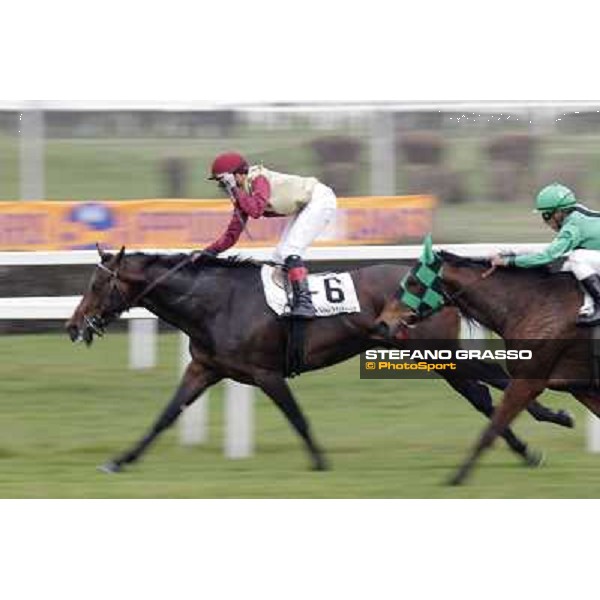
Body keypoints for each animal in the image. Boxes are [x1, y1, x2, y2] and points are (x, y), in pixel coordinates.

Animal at [65, 247, 572, 474]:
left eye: (97, 284)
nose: (73, 325)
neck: (216, 302)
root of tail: (437, 286)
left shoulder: (267, 374)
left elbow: (297, 417)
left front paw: (321, 463)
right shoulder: (204, 369)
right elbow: (165, 415)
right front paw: (122, 459)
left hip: (433, 350)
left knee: (494, 380)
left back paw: (554, 417)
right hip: (433, 356)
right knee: (482, 395)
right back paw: (526, 448)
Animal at [372, 251, 596, 486]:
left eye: (413, 282)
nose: (382, 324)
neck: (533, 305)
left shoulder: (528, 381)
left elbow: (491, 430)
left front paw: (457, 477)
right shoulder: (580, 386)